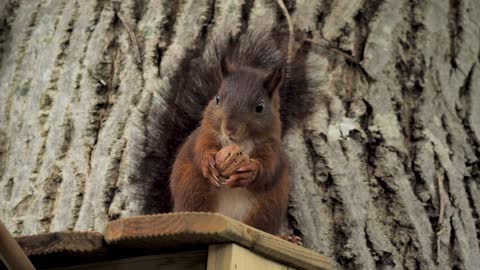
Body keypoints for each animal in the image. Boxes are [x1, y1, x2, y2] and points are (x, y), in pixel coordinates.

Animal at [135, 31, 312, 237]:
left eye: (260, 107)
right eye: (218, 98)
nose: (229, 129)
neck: (239, 143)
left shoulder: (272, 147)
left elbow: (268, 167)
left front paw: (251, 171)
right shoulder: (205, 135)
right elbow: (201, 149)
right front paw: (208, 161)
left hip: (266, 208)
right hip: (195, 189)